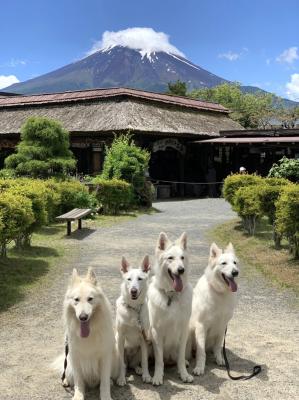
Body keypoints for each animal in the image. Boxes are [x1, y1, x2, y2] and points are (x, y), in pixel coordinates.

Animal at [57, 268, 117, 400]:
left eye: (90, 299)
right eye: (76, 300)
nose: (83, 317)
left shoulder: (105, 357)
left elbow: (104, 382)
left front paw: (106, 396)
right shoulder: (75, 357)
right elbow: (79, 381)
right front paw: (78, 396)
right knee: (67, 373)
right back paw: (66, 381)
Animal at [115, 255, 152, 386]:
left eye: (140, 279)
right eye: (129, 279)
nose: (133, 290)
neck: (134, 308)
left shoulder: (144, 338)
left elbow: (145, 361)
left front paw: (146, 375)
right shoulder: (120, 337)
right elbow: (121, 363)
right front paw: (121, 378)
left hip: (143, 348)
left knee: (135, 364)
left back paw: (139, 369)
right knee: (125, 365)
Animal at [148, 233, 195, 386]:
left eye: (182, 258)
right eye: (170, 258)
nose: (181, 270)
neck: (172, 295)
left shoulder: (183, 330)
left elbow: (180, 358)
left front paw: (184, 374)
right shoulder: (156, 332)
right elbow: (159, 361)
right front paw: (157, 376)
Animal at [191, 242, 240, 376]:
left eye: (235, 263)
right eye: (224, 263)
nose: (235, 272)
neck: (219, 292)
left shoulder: (222, 325)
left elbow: (218, 346)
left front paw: (220, 359)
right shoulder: (201, 326)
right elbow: (201, 352)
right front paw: (199, 367)